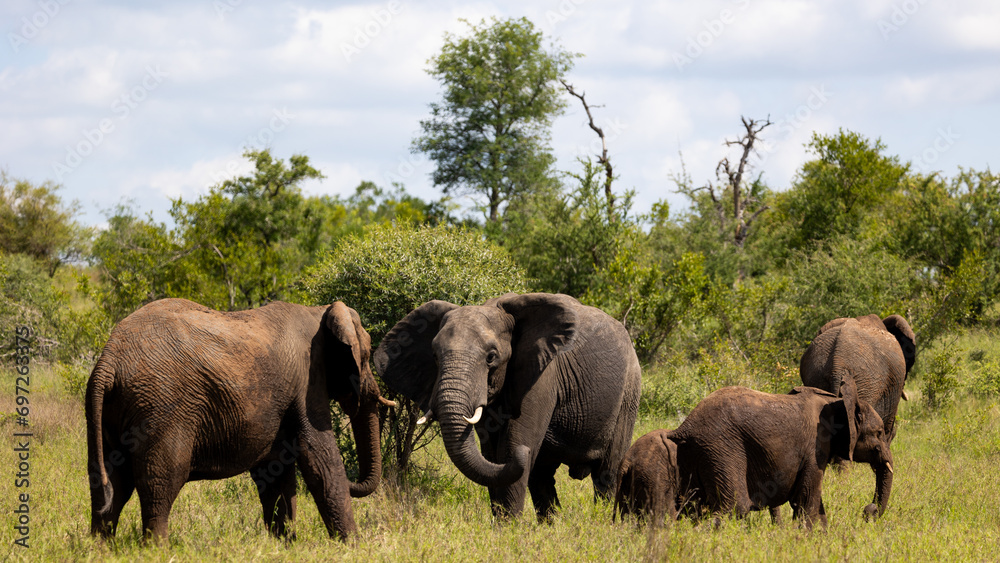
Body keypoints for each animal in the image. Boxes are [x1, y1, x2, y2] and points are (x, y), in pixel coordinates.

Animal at [85, 298, 390, 542]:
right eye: (365, 356)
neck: (319, 311)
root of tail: (108, 361)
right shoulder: (307, 383)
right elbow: (320, 461)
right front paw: (353, 547)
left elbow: (276, 472)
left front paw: (285, 544)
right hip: (161, 408)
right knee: (160, 483)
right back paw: (157, 549)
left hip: (110, 412)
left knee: (111, 483)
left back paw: (102, 548)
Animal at [373, 292, 642, 520]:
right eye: (435, 356)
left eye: (491, 357)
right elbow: (493, 457)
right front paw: (503, 528)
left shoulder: (542, 378)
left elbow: (512, 447)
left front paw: (508, 530)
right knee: (541, 475)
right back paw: (551, 526)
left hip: (629, 393)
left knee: (606, 473)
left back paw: (601, 521)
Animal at [644, 385, 892, 529]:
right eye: (879, 433)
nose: (868, 511)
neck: (839, 401)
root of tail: (684, 427)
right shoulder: (815, 447)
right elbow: (807, 497)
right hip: (720, 447)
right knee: (734, 506)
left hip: (693, 453)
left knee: (691, 505)